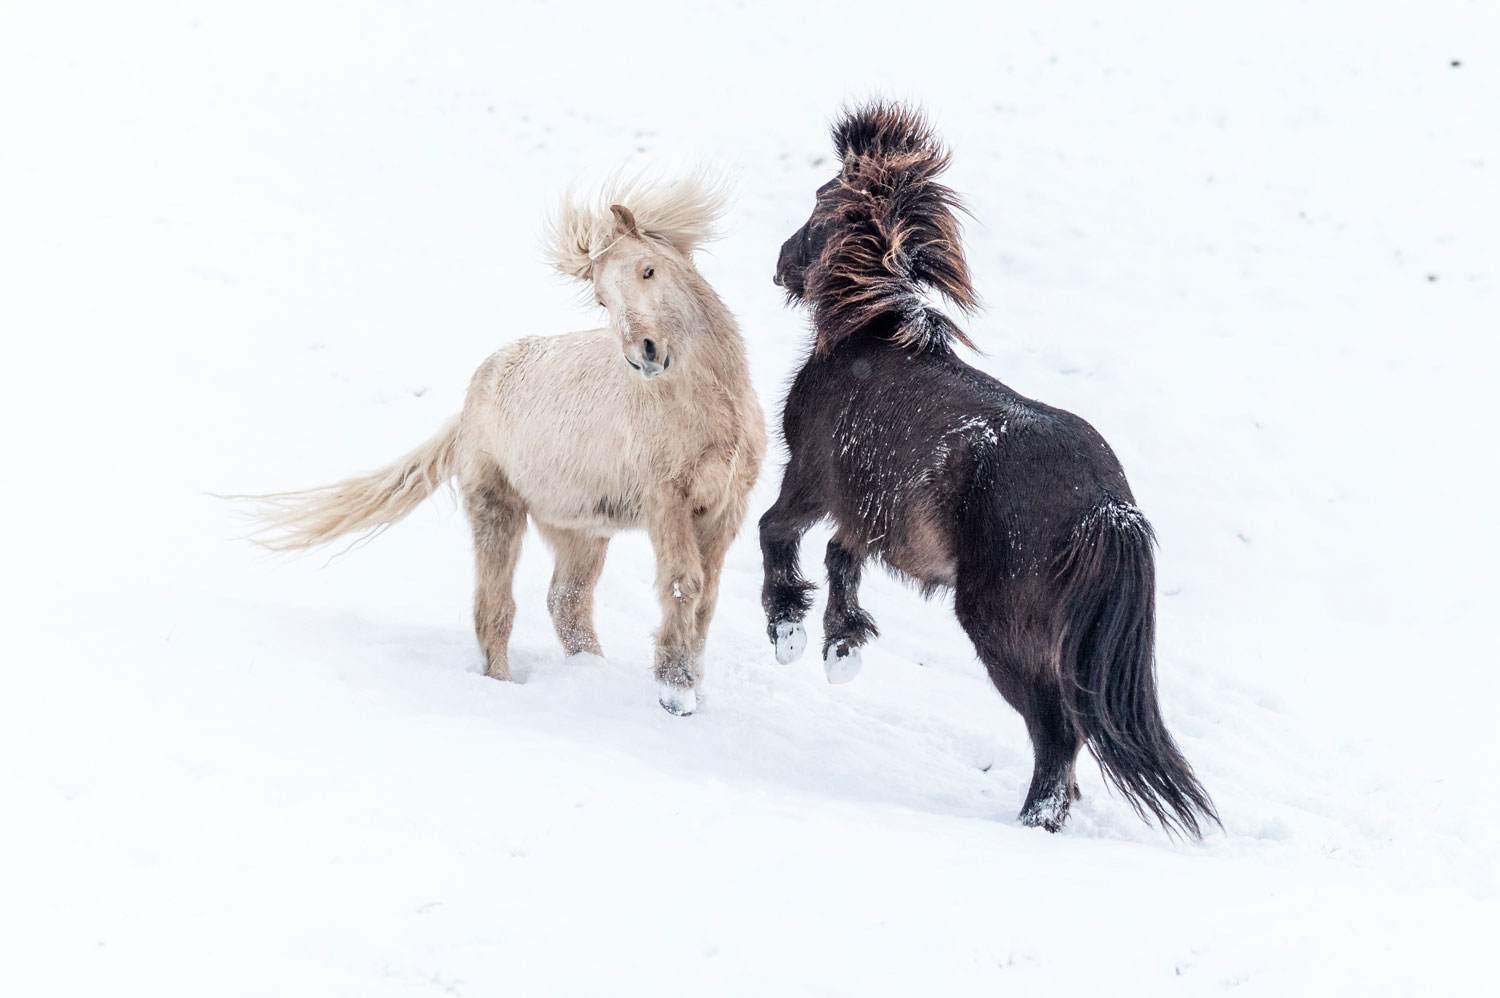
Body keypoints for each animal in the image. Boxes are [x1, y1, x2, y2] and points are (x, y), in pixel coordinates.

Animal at [253, 173, 768, 717]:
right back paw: (502, 685)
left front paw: (693, 690)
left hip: (581, 529)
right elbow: (682, 584)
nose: (645, 354)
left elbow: (707, 599)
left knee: (566, 602)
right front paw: (676, 692)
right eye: (603, 300)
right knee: (496, 608)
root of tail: (474, 395)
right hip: (497, 509)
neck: (705, 406)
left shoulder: (726, 508)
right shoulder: (666, 502)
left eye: (648, 270)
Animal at [762, 102, 1218, 834]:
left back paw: (1034, 821)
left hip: (999, 626)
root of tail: (1106, 508)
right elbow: (841, 559)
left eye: (819, 200)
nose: (780, 265)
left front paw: (789, 632)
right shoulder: (867, 507)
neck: (870, 335)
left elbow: (776, 533)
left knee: (1058, 731)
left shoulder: (808, 480)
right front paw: (843, 646)